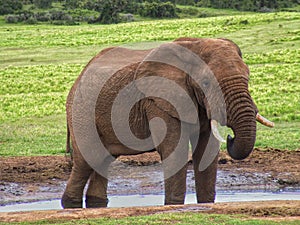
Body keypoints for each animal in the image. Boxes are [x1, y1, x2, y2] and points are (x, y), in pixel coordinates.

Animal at [61, 36, 274, 207]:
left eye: (248, 78)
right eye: (206, 83)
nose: (230, 137)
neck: (194, 45)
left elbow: (206, 152)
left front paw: (205, 204)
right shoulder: (158, 102)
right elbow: (175, 151)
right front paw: (174, 205)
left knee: (102, 161)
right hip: (82, 111)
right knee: (87, 160)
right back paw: (70, 204)